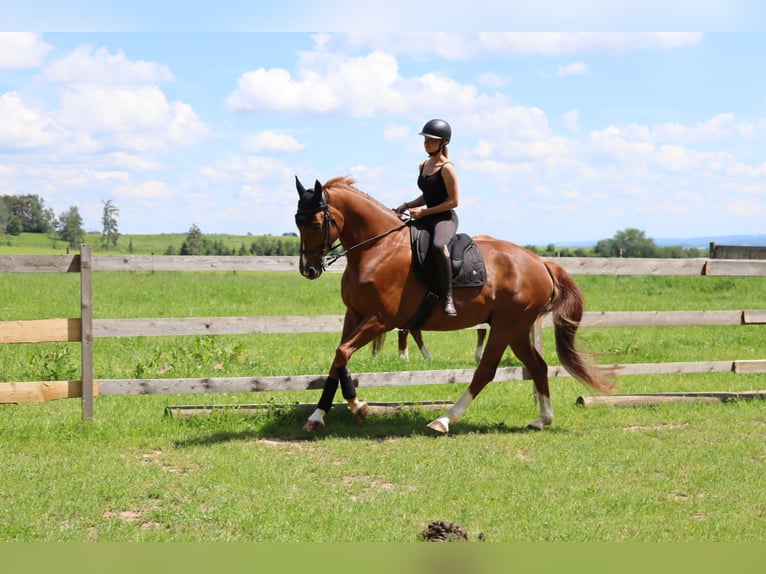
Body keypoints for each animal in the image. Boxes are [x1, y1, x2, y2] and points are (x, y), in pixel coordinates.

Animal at [294, 176, 614, 433]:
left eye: (316, 223)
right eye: (297, 221)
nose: (308, 269)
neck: (378, 248)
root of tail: (540, 263)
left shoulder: (381, 319)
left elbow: (342, 353)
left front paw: (357, 406)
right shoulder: (355, 314)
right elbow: (339, 359)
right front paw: (320, 415)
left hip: (506, 327)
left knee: (486, 371)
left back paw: (445, 420)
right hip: (517, 329)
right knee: (538, 366)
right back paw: (542, 419)